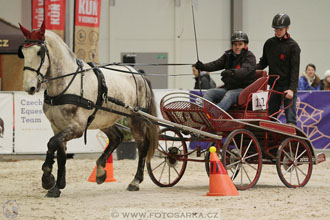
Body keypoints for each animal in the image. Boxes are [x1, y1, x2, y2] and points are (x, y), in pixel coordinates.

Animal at [18, 22, 159, 198]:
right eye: (23, 52)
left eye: (40, 52)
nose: (29, 87)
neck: (66, 85)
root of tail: (138, 73)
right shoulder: (57, 127)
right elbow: (61, 153)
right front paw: (57, 186)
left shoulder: (77, 128)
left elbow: (52, 143)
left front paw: (47, 178)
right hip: (104, 119)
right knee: (117, 137)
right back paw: (100, 171)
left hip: (136, 119)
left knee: (142, 145)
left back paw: (135, 181)